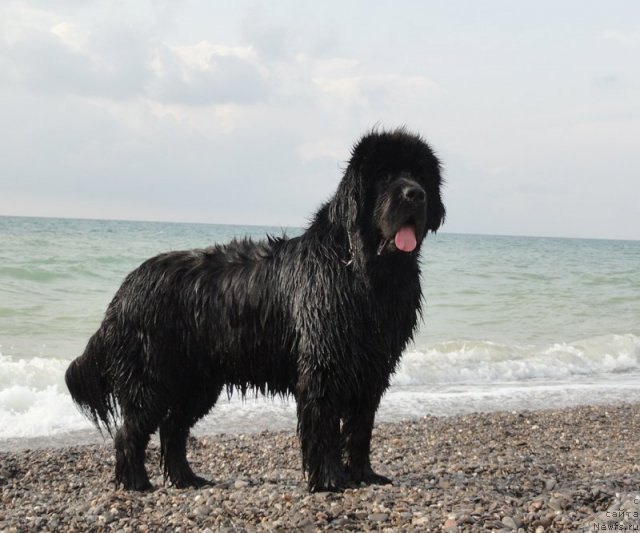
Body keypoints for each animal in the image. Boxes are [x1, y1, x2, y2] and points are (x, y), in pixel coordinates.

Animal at [66, 128, 444, 490]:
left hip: (199, 382)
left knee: (173, 428)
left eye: (419, 174)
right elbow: (323, 426)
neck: (363, 271)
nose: (415, 194)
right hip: (153, 377)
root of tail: (125, 288)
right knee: (130, 431)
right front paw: (329, 479)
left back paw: (187, 478)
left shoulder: (372, 368)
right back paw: (136, 482)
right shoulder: (323, 366)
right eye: (385, 175)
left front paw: (364, 474)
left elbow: (360, 429)